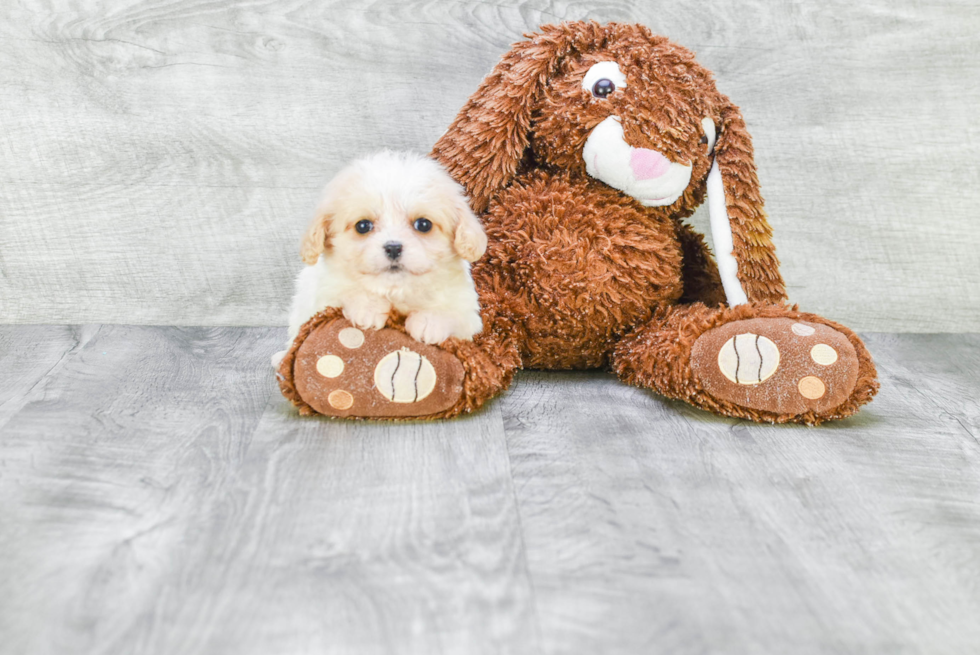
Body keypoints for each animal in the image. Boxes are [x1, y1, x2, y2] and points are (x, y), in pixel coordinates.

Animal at [276, 150, 486, 364]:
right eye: (363, 226)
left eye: (423, 224)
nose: (393, 248)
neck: (396, 291)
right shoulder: (322, 295)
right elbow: (345, 290)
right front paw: (368, 308)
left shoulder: (468, 316)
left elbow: (452, 313)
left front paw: (430, 322)